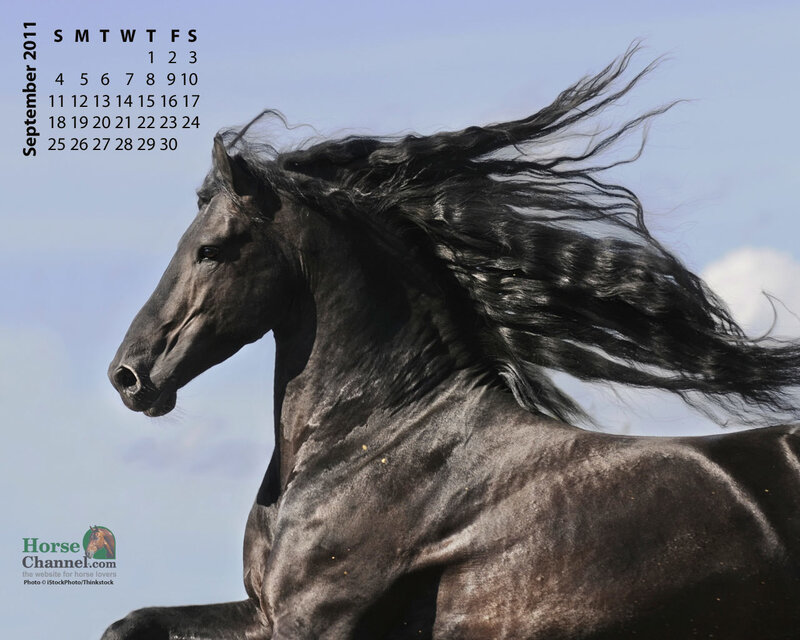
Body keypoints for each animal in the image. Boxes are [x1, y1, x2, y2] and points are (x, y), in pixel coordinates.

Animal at [103, 48, 800, 639]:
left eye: (211, 249)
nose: (128, 376)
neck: (376, 438)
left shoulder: (311, 621)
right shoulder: (261, 611)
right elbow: (128, 623)